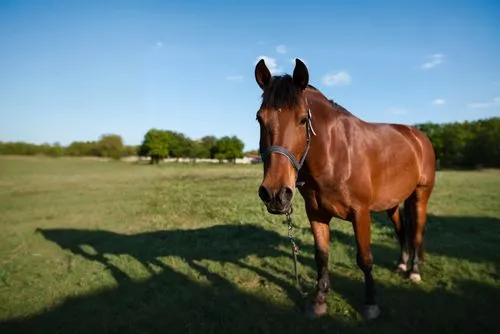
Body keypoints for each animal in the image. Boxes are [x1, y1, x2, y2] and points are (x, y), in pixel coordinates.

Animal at [254, 58, 434, 320]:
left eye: (302, 119)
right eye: (260, 119)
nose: (276, 194)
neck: (335, 154)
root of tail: (418, 136)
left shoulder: (361, 214)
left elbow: (365, 258)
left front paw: (371, 304)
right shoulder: (316, 214)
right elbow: (321, 256)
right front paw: (319, 301)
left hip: (420, 195)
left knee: (417, 232)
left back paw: (414, 272)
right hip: (391, 203)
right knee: (402, 230)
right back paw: (402, 264)